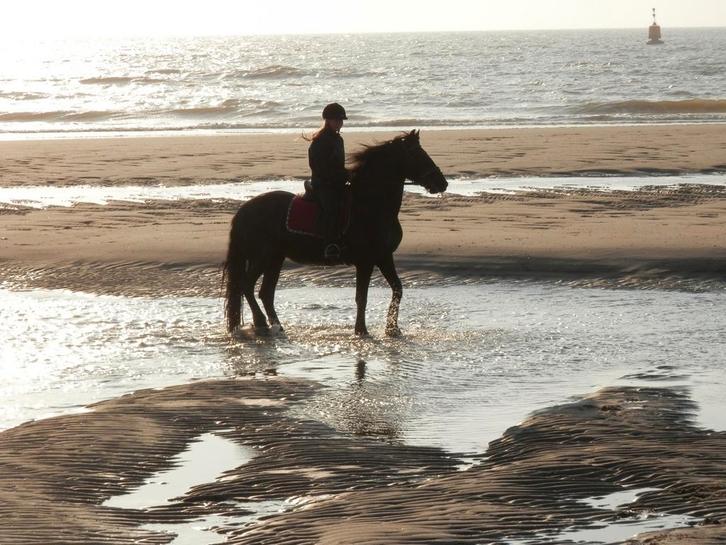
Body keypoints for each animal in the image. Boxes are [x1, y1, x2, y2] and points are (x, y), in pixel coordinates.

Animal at [223, 129, 448, 336]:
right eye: (417, 154)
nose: (442, 183)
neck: (371, 204)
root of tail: (243, 211)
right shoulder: (366, 261)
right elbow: (362, 297)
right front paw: (361, 330)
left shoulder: (384, 257)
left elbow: (398, 289)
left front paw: (392, 328)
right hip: (263, 256)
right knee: (247, 285)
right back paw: (261, 323)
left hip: (275, 258)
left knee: (265, 293)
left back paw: (277, 327)